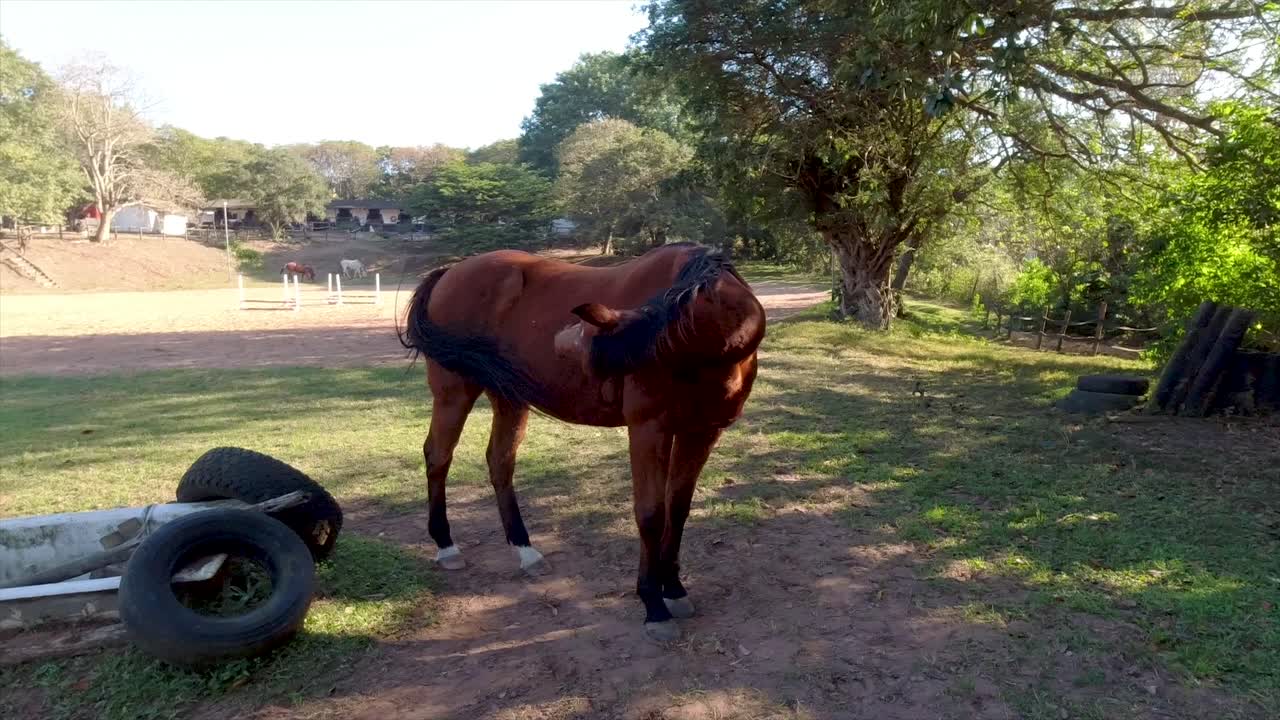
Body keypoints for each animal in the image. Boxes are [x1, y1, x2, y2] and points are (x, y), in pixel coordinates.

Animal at [399, 243, 766, 641]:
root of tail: (449, 272)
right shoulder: (649, 429)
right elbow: (651, 514)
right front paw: (653, 605)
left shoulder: (701, 431)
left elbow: (678, 508)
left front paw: (674, 589)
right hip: (453, 393)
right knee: (438, 457)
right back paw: (446, 546)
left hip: (508, 397)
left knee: (500, 462)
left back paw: (526, 551)